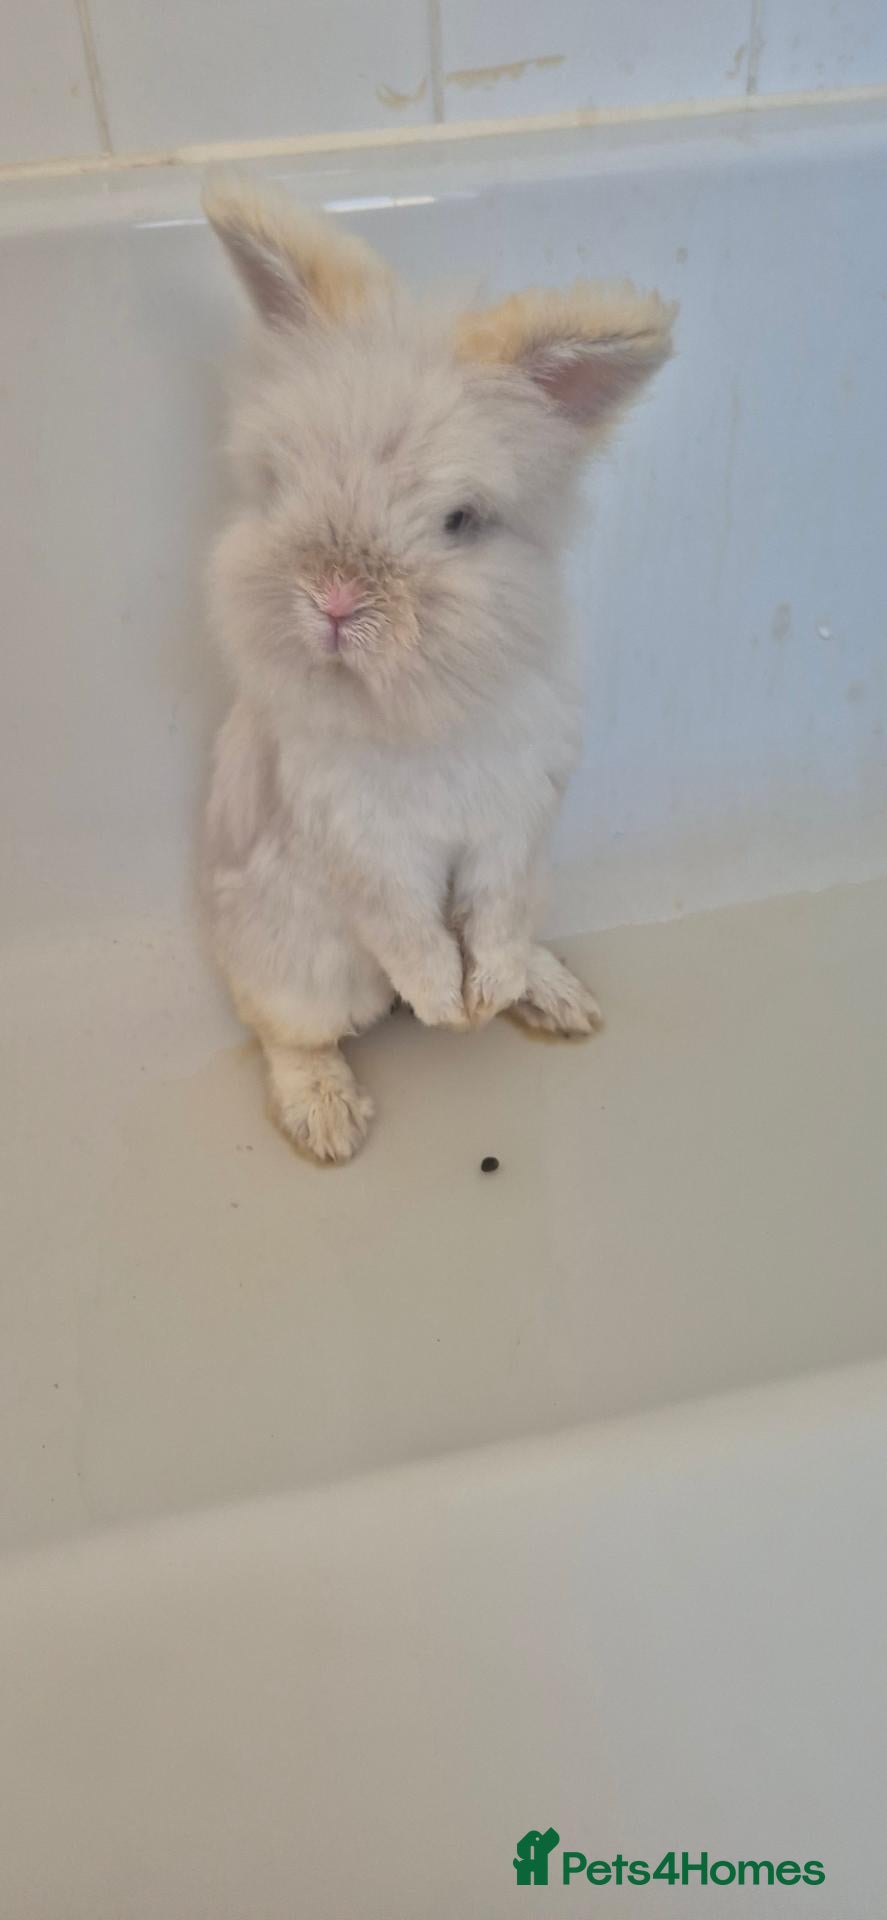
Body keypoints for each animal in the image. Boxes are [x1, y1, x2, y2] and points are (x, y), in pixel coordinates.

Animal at [202, 177, 674, 1163]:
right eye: (282, 482)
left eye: (460, 520)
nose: (334, 600)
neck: (423, 707)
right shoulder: (366, 853)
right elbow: (411, 936)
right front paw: (442, 1007)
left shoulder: (513, 826)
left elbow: (489, 920)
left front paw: (483, 999)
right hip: (298, 962)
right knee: (284, 1030)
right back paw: (327, 1118)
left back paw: (552, 993)